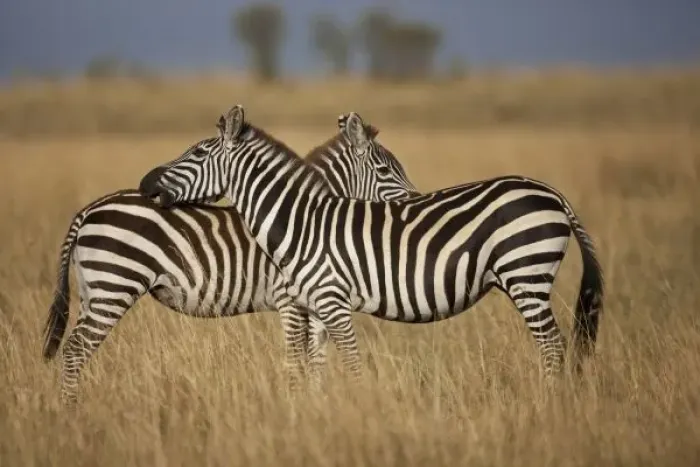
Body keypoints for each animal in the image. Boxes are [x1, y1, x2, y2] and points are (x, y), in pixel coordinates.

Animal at [42, 115, 418, 406]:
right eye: (385, 170)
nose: (416, 199)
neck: (306, 218)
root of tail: (89, 209)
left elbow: (316, 358)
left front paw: (317, 404)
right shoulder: (290, 300)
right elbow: (299, 359)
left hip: (94, 290)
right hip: (114, 286)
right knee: (75, 351)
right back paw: (71, 413)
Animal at [139, 104, 604, 388]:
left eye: (197, 153)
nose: (145, 183)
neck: (301, 222)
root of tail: (551, 192)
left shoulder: (328, 301)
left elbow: (348, 364)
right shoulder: (314, 306)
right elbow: (316, 365)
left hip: (527, 274)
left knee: (552, 345)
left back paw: (548, 402)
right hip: (525, 277)